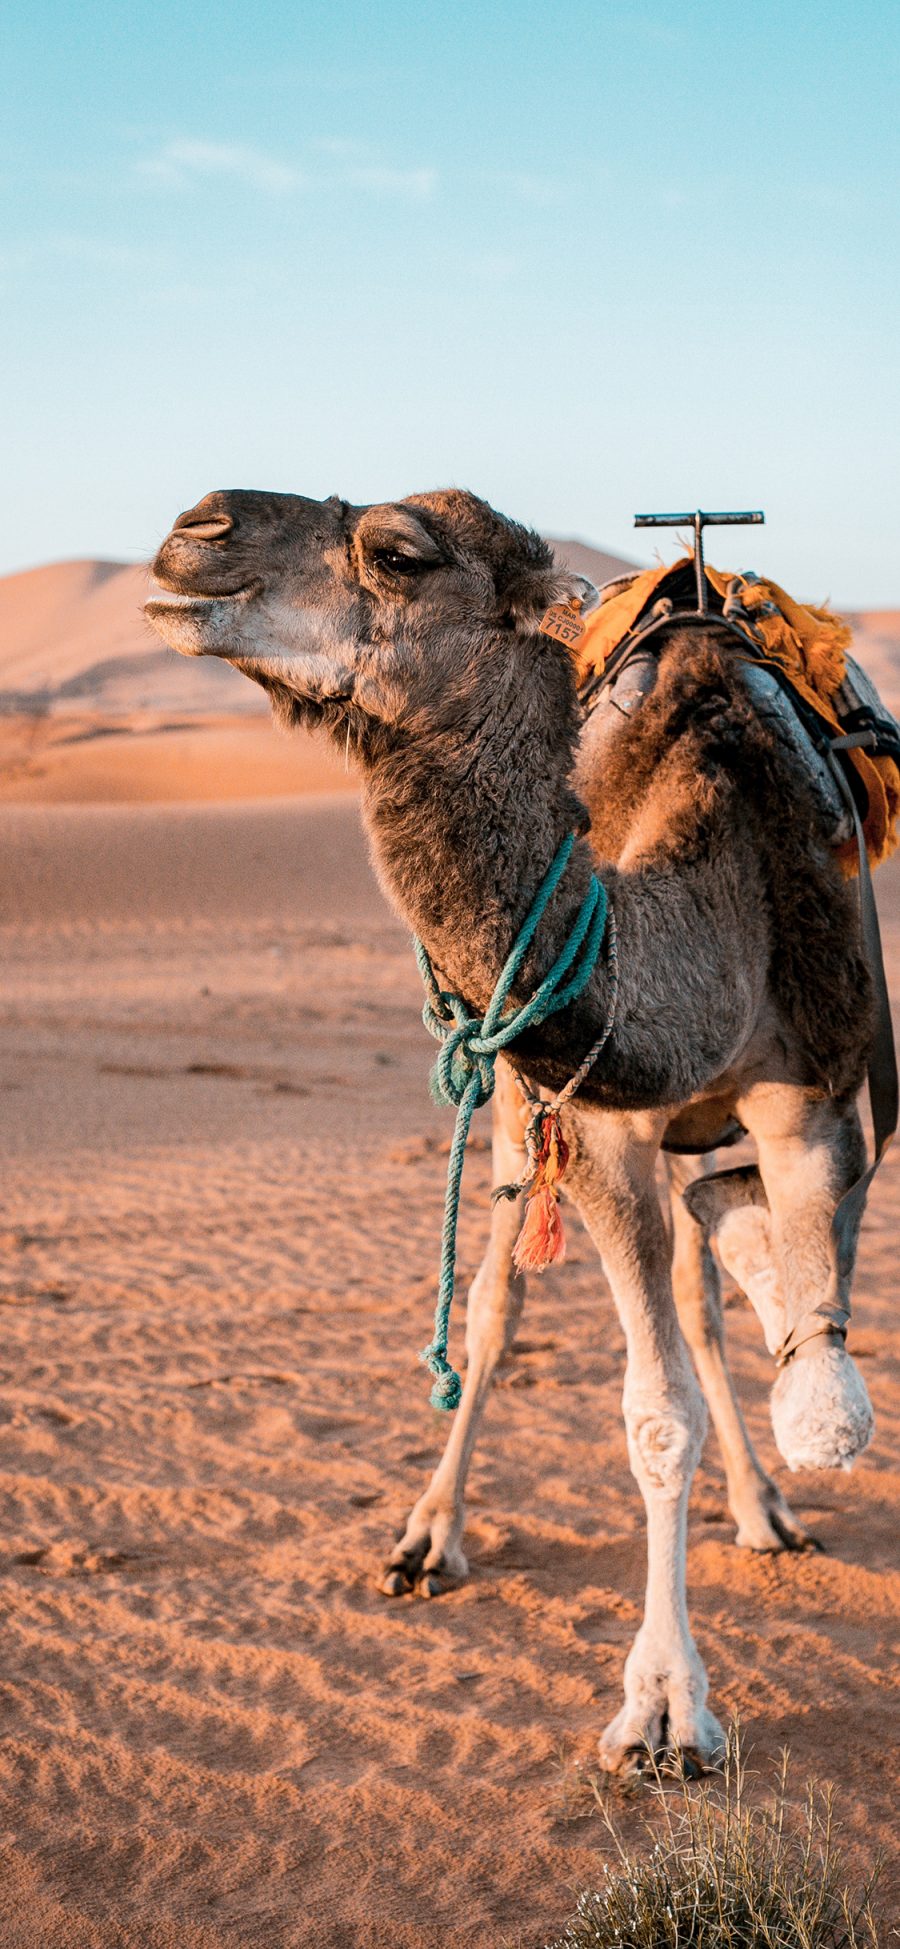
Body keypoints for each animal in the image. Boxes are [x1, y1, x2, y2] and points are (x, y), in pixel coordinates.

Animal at [144, 483, 876, 1769]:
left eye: (397, 552)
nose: (197, 528)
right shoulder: (591, 1123)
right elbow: (653, 1412)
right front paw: (663, 1707)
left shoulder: (817, 1095)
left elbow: (791, 1330)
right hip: (514, 1111)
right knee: (492, 1312)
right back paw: (428, 1535)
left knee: (696, 1291)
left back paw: (766, 1506)